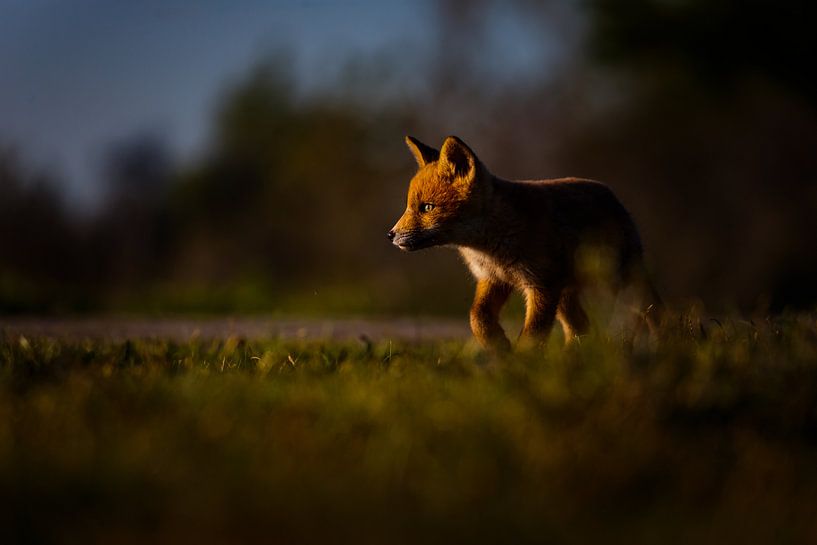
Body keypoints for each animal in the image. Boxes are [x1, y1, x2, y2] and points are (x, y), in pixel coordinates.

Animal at [388, 134, 664, 350]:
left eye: (427, 208)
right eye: (409, 206)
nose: (390, 234)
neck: (489, 248)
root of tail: (610, 192)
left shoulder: (540, 284)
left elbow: (533, 333)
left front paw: (523, 362)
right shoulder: (493, 279)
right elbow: (477, 318)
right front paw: (499, 346)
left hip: (617, 282)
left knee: (651, 308)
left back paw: (664, 341)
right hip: (566, 294)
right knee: (580, 328)